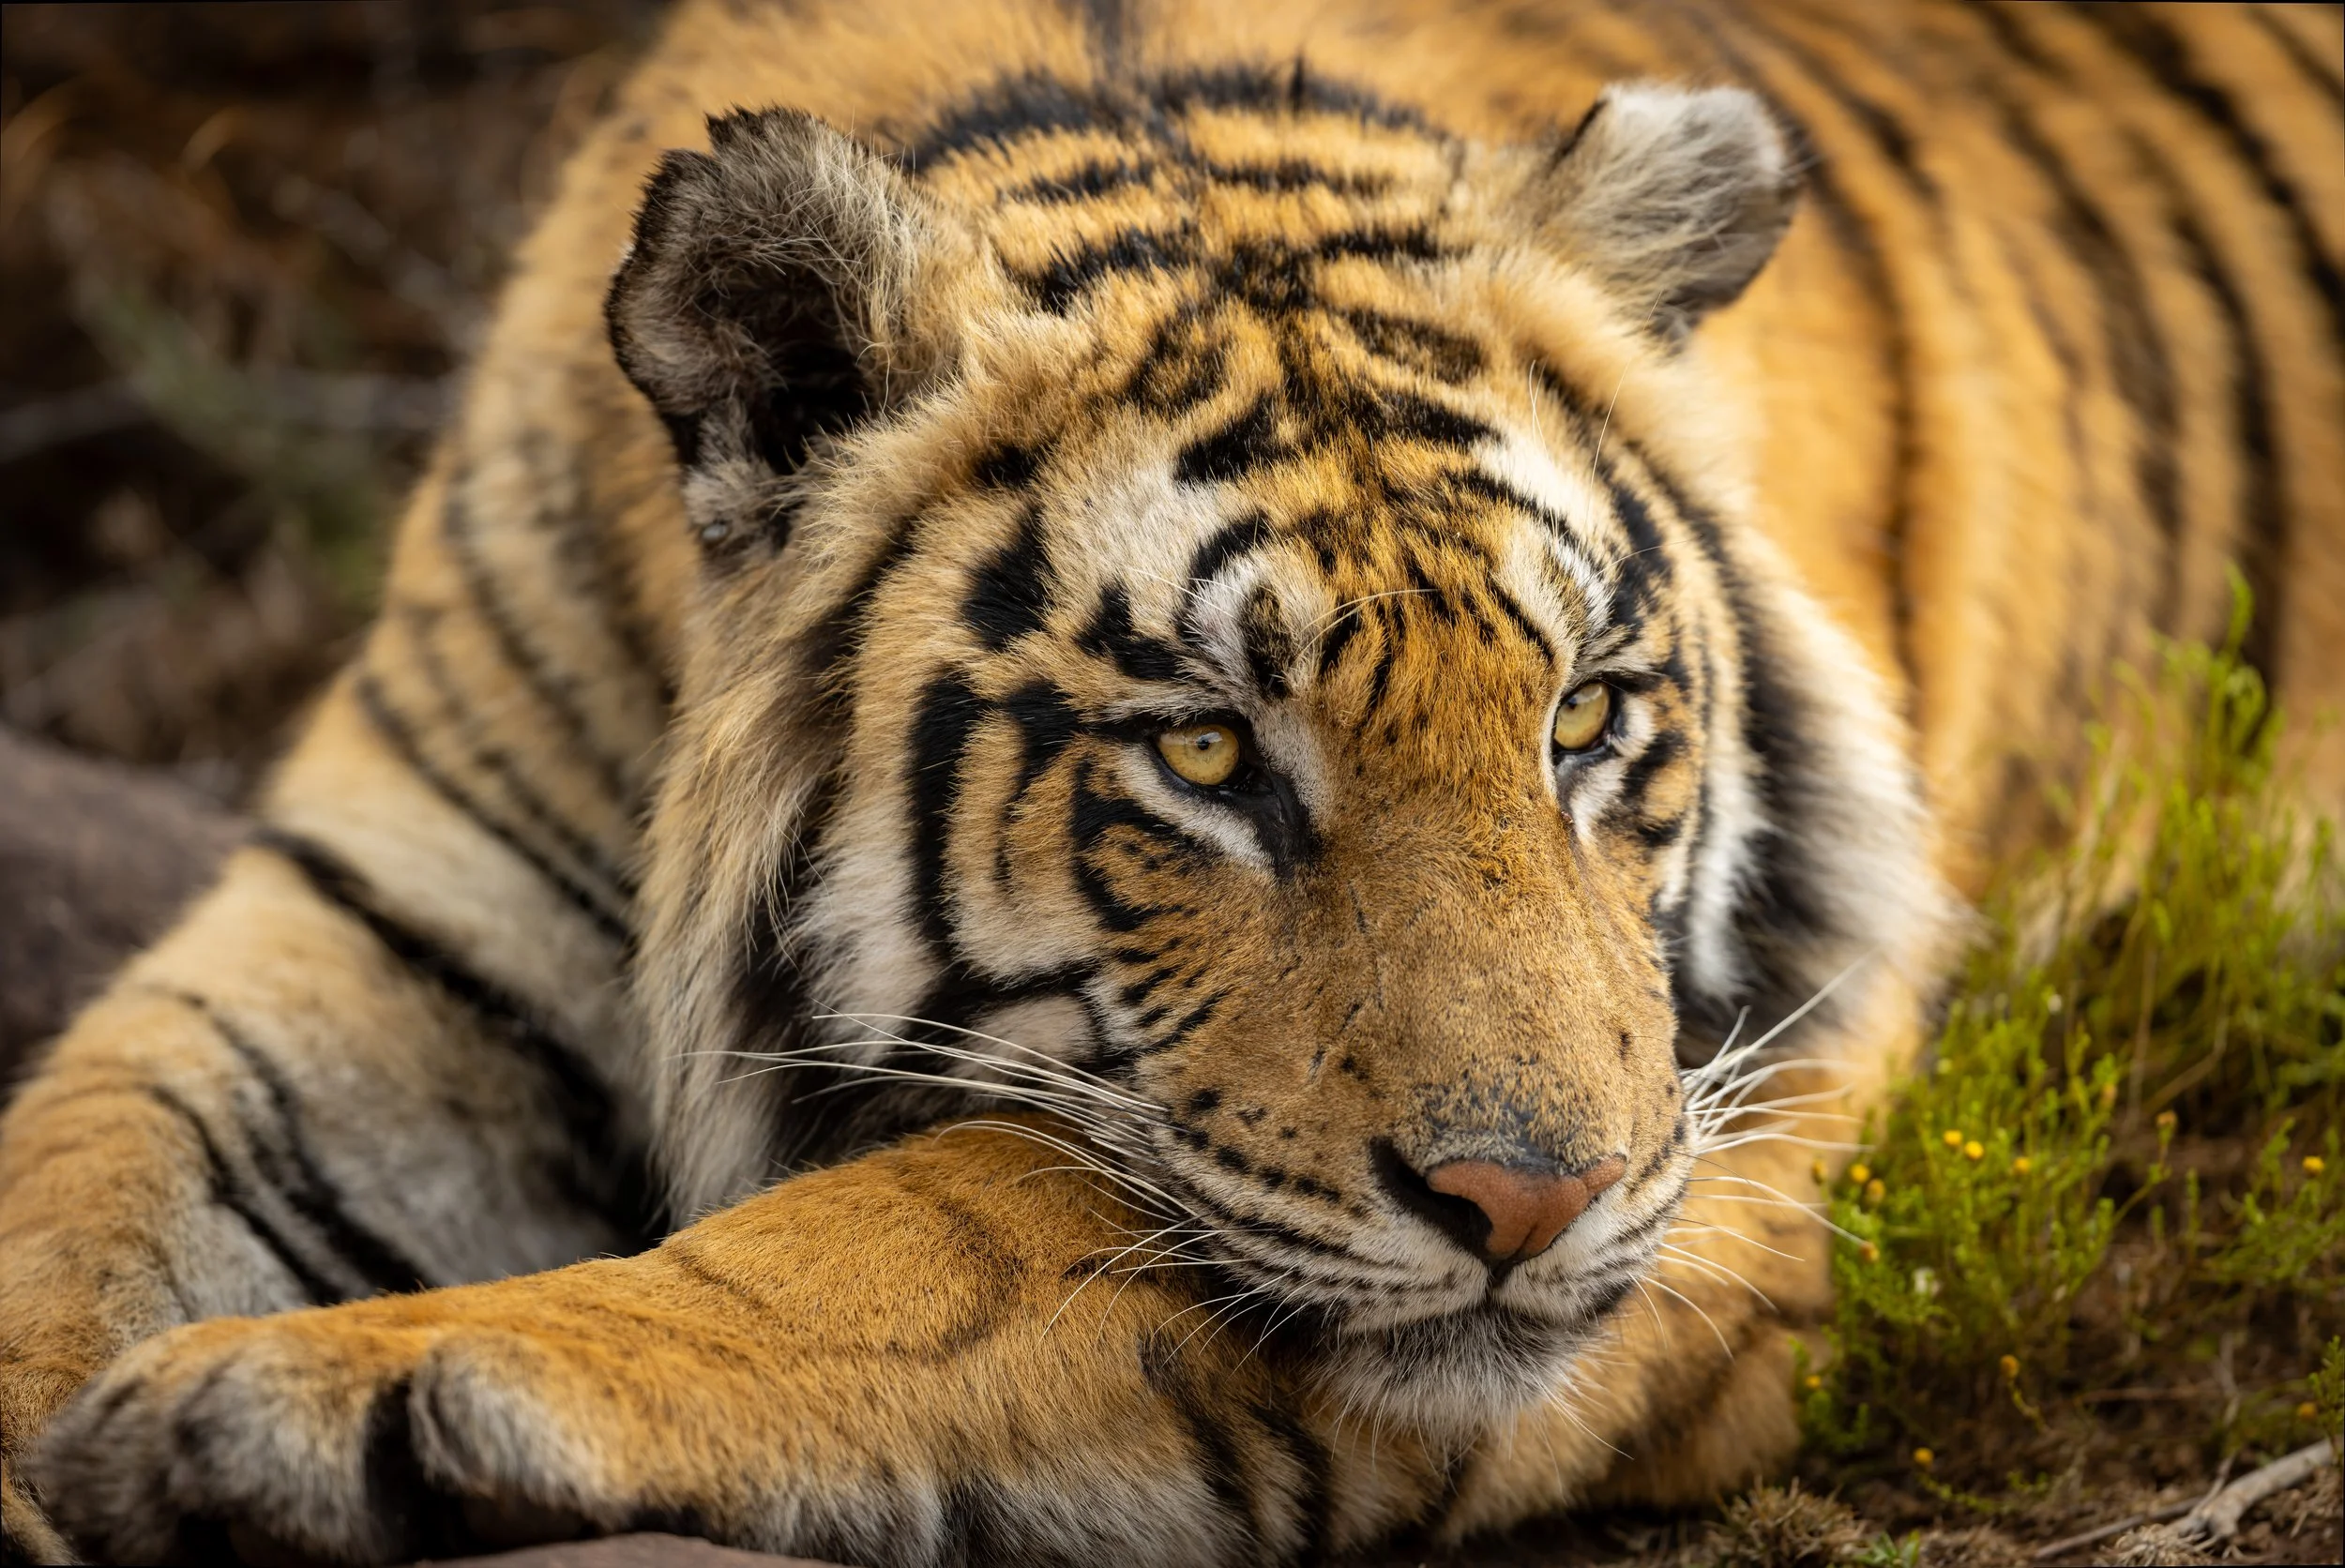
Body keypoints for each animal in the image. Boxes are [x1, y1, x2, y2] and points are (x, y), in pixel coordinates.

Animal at [4, 0, 2339, 1563]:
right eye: (1207, 749)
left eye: (1583, 717)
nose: (1535, 1202)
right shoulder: (390, 927)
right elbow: (80, 1176)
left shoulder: (1744, 1137)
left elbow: (935, 1228)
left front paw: (317, 1394)